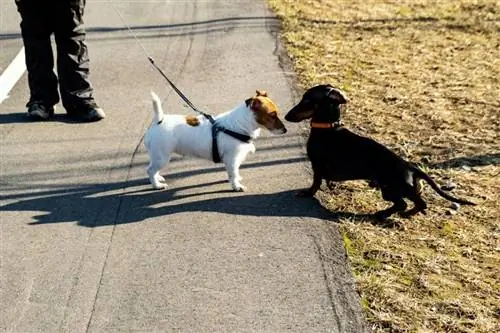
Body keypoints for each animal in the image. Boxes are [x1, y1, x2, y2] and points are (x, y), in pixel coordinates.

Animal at [144, 89, 286, 191]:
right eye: (272, 115)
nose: (285, 130)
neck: (241, 123)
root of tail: (159, 120)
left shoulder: (233, 160)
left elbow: (234, 172)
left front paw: (235, 180)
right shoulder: (232, 158)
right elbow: (233, 172)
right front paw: (236, 186)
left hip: (158, 156)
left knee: (153, 168)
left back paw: (158, 178)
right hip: (162, 156)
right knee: (150, 170)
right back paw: (156, 185)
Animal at [286, 83, 476, 218]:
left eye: (307, 100)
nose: (287, 116)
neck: (328, 128)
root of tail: (411, 167)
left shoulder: (317, 166)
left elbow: (315, 182)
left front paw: (307, 193)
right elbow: (327, 180)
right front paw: (330, 185)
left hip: (390, 189)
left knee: (406, 204)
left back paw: (386, 214)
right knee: (418, 203)